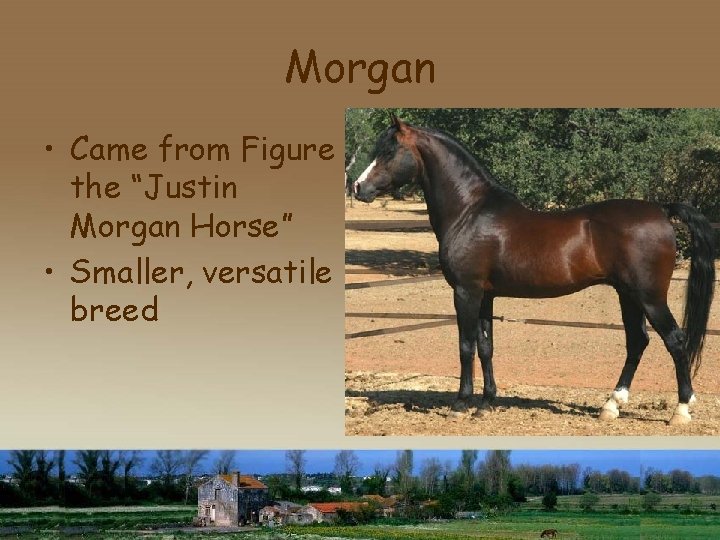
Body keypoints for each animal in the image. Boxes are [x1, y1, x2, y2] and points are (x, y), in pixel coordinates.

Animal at [352, 115, 716, 425]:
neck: (470, 211)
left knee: (675, 340)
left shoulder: (466, 292)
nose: (357, 187)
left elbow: (465, 345)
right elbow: (486, 346)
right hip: (628, 295)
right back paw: (611, 406)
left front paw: (460, 403)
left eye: (389, 151)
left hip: (650, 297)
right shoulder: (485, 295)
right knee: (637, 341)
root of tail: (661, 209)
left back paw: (681, 410)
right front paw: (487, 403)